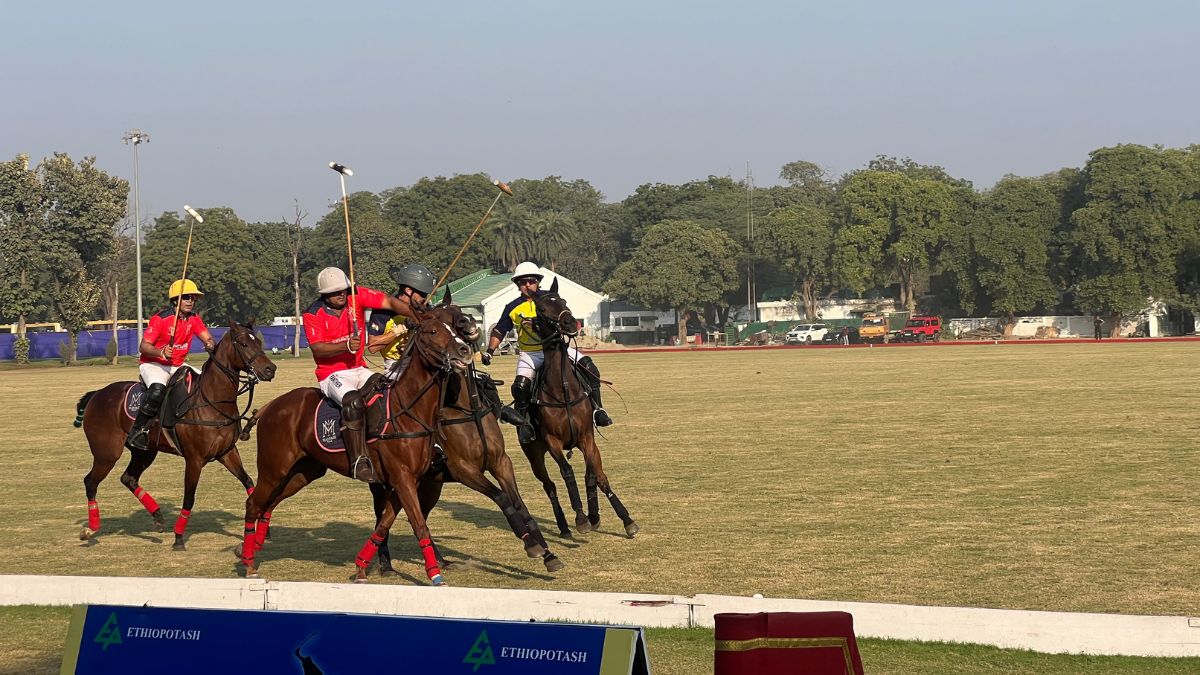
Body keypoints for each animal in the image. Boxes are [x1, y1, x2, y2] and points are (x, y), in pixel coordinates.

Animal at [75, 319, 278, 547]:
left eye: (258, 342)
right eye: (243, 344)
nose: (270, 369)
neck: (211, 401)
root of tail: (96, 395)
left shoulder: (227, 452)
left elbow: (248, 481)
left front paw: (264, 529)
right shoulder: (194, 459)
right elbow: (189, 497)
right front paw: (179, 537)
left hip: (145, 451)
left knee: (128, 478)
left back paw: (158, 517)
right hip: (107, 453)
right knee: (90, 482)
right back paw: (90, 529)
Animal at [238, 296, 472, 581]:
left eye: (454, 325)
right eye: (433, 331)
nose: (464, 351)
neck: (407, 408)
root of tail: (270, 406)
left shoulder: (406, 479)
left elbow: (384, 524)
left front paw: (361, 565)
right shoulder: (402, 478)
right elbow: (418, 524)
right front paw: (435, 576)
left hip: (304, 471)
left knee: (269, 503)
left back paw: (254, 548)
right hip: (274, 467)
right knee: (253, 503)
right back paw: (249, 563)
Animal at [372, 305, 564, 571]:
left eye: (457, 312)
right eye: (438, 320)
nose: (470, 323)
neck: (467, 409)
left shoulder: (500, 462)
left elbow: (520, 504)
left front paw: (548, 554)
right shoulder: (464, 470)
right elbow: (500, 496)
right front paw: (531, 544)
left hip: (430, 483)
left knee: (419, 515)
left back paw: (440, 560)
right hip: (388, 481)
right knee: (383, 515)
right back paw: (385, 562)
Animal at [525, 278, 638, 535]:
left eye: (563, 300)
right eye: (543, 308)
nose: (570, 323)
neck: (563, 390)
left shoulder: (587, 437)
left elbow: (597, 475)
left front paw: (625, 519)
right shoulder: (552, 441)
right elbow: (567, 473)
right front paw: (580, 517)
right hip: (534, 454)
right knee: (549, 485)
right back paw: (563, 525)